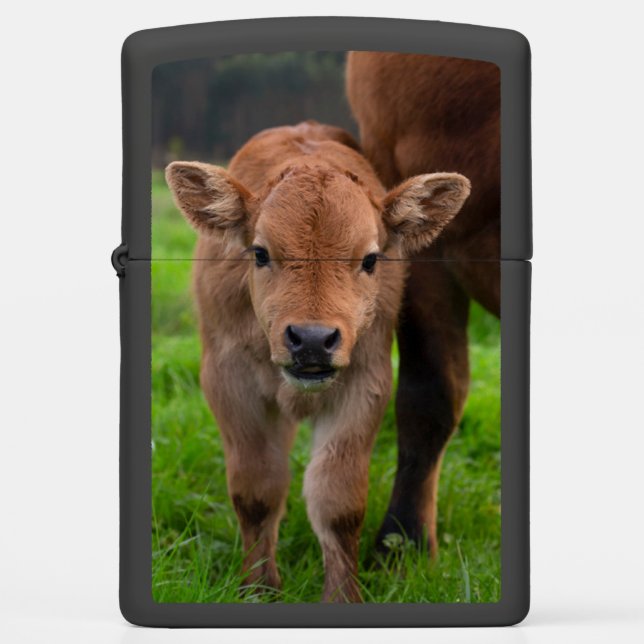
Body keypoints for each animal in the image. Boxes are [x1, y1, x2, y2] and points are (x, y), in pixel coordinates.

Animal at [165, 121, 470, 602]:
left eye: (370, 258)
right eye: (260, 252)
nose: (311, 340)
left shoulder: (365, 383)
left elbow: (338, 501)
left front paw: (343, 596)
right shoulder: (228, 383)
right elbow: (256, 490)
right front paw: (259, 590)